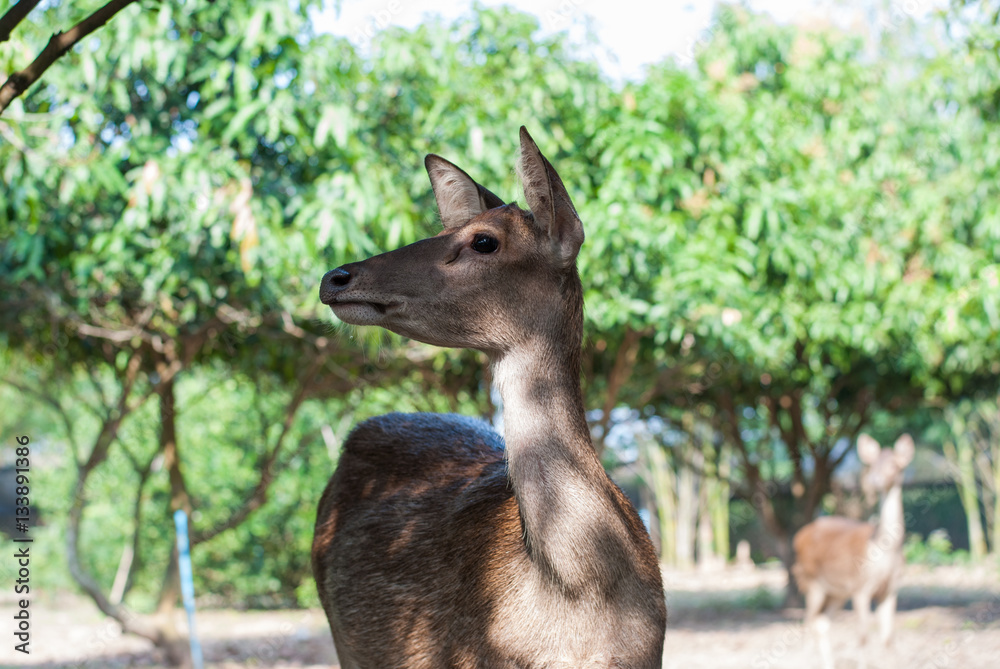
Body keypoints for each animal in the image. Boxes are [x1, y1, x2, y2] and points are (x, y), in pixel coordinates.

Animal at [792, 433, 914, 669]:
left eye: (894, 465)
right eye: (872, 465)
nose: (875, 479)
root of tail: (798, 536)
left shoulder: (891, 589)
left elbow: (888, 638)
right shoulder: (860, 586)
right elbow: (863, 636)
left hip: (835, 592)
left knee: (822, 622)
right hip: (811, 582)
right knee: (807, 622)